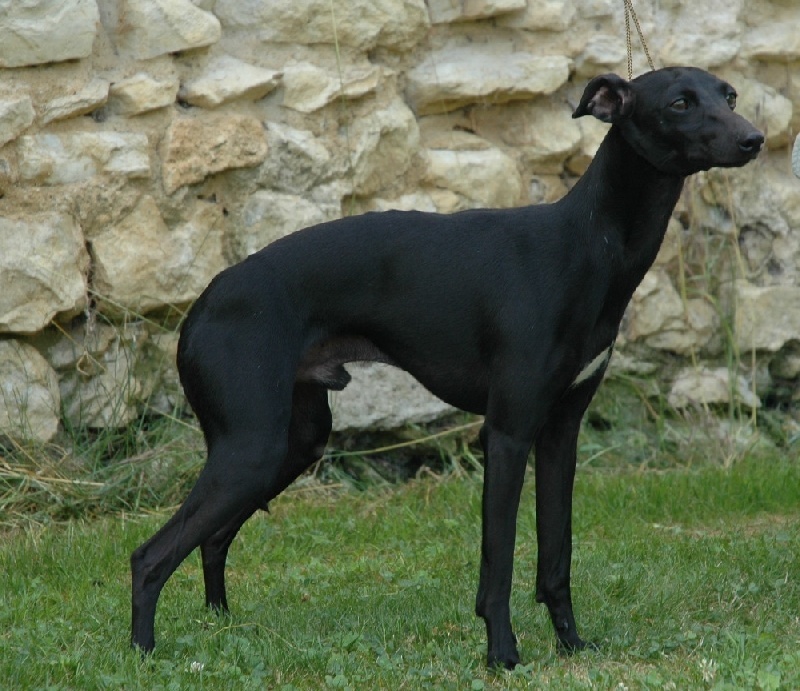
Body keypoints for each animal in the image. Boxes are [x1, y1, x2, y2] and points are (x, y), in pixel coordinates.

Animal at [131, 67, 764, 668]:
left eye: (729, 96)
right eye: (679, 103)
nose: (755, 139)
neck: (587, 242)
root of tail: (203, 303)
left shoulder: (561, 433)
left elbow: (556, 557)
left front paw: (571, 644)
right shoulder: (507, 434)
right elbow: (499, 562)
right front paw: (503, 655)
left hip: (292, 441)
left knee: (212, 540)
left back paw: (221, 625)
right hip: (251, 447)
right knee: (149, 556)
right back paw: (143, 652)